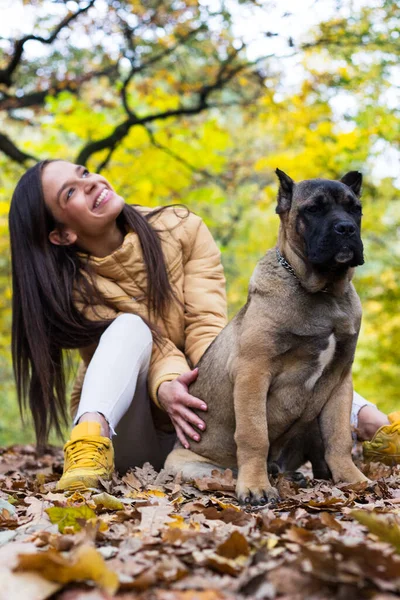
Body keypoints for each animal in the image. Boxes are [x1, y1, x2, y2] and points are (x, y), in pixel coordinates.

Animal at [165, 171, 368, 504]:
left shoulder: (340, 378)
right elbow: (253, 434)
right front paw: (255, 486)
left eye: (356, 209)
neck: (324, 292)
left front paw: (353, 481)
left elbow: (339, 438)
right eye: (314, 209)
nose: (346, 228)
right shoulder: (253, 372)